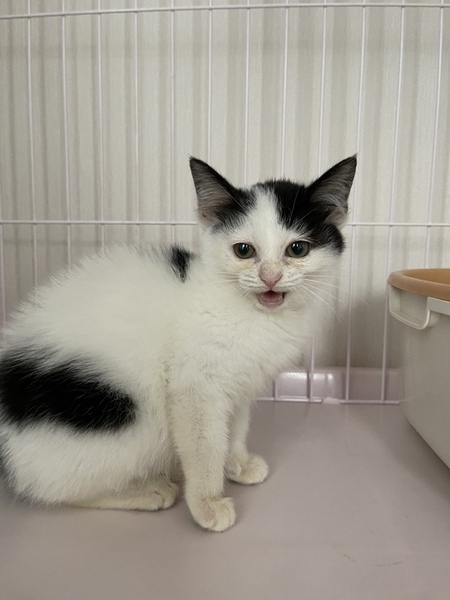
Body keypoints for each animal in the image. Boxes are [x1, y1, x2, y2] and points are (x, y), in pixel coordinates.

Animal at [0, 155, 356, 532]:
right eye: (243, 250)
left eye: (297, 249)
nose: (269, 277)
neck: (252, 314)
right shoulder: (194, 383)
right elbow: (204, 445)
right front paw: (206, 502)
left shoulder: (240, 384)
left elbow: (234, 426)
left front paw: (237, 462)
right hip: (131, 420)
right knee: (52, 488)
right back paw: (146, 490)